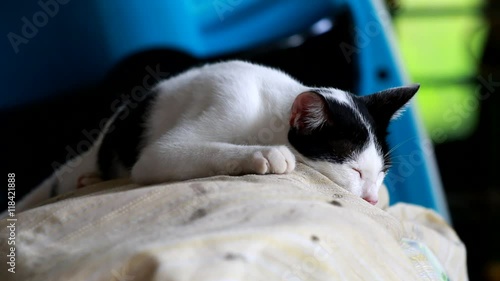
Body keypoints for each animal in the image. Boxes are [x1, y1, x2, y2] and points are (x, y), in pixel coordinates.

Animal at [5, 60, 418, 214]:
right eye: (354, 170)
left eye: (381, 172)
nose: (369, 197)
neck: (267, 106)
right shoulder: (219, 109)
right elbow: (181, 153)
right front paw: (266, 155)